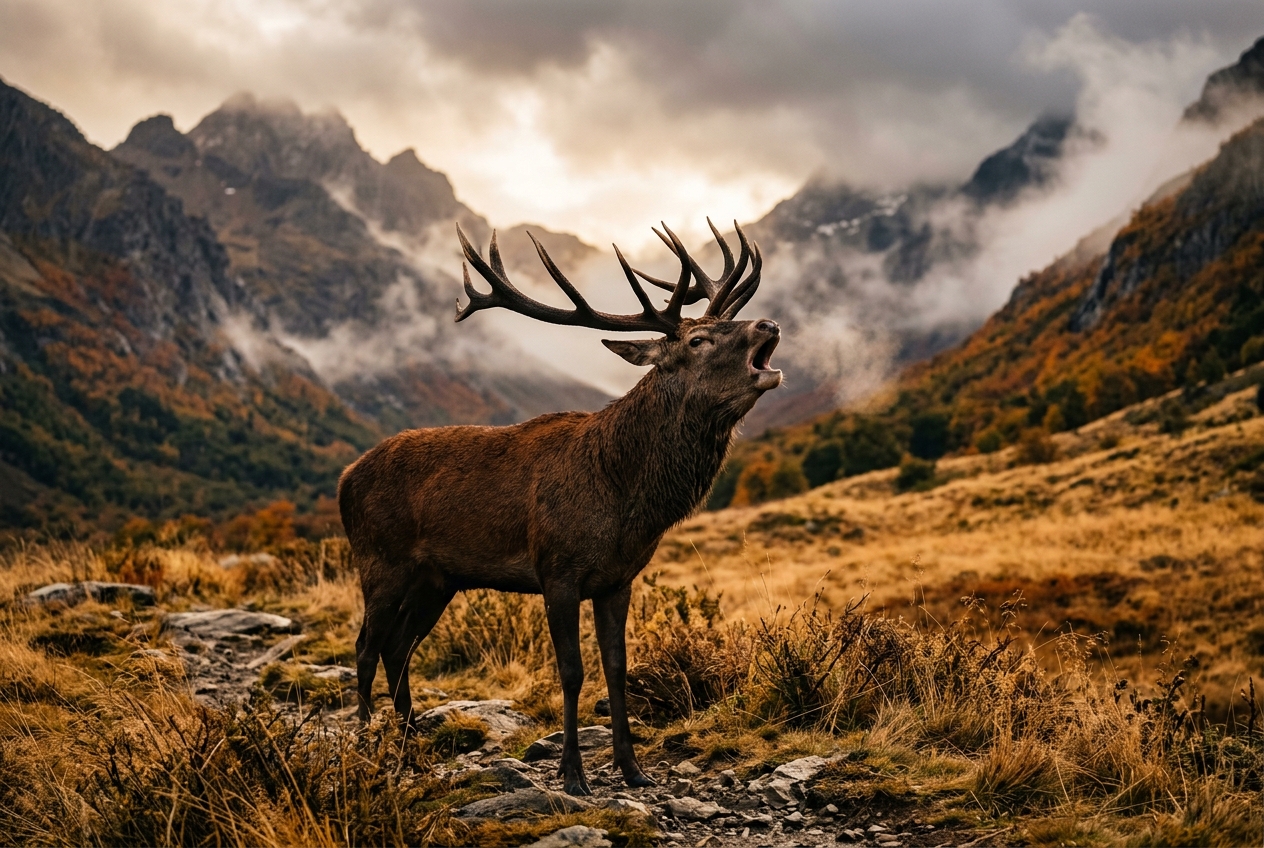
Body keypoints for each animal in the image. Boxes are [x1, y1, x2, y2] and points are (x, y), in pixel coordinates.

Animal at [338, 219, 781, 795]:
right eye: (698, 340)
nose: (769, 324)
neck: (622, 500)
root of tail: (344, 479)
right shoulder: (557, 570)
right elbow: (571, 671)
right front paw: (573, 773)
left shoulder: (618, 579)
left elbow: (616, 667)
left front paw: (633, 769)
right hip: (380, 561)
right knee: (366, 646)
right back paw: (369, 744)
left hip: (436, 579)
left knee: (397, 647)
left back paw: (411, 743)